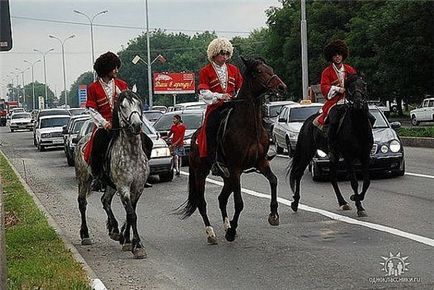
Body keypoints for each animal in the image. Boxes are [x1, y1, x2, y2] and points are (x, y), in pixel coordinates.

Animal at [73, 90, 150, 258]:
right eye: (123, 106)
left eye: (139, 103)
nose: (137, 125)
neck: (131, 153)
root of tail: (81, 140)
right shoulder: (123, 187)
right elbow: (131, 214)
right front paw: (137, 245)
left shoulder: (137, 187)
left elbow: (131, 212)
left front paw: (126, 239)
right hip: (84, 179)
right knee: (82, 203)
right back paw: (85, 235)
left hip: (110, 184)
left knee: (105, 200)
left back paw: (114, 229)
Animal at [178, 57, 286, 244]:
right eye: (258, 71)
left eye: (270, 68)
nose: (281, 87)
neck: (249, 128)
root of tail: (194, 138)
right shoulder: (236, 168)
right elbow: (239, 203)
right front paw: (232, 231)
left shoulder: (261, 162)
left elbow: (273, 181)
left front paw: (273, 215)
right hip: (201, 172)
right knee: (201, 202)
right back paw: (211, 233)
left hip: (227, 177)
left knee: (221, 199)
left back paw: (227, 225)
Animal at [290, 73, 372, 216]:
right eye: (349, 87)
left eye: (364, 85)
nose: (358, 103)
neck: (358, 128)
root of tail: (307, 121)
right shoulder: (348, 157)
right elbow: (354, 182)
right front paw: (359, 206)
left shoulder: (365, 155)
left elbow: (366, 181)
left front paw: (356, 198)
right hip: (307, 152)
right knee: (298, 173)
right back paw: (295, 203)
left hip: (334, 156)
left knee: (333, 177)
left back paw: (343, 202)